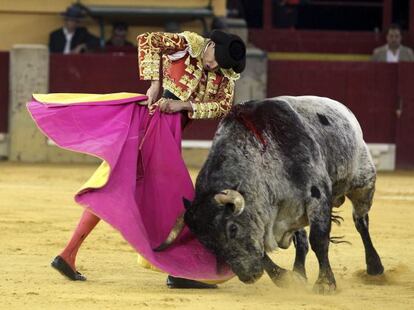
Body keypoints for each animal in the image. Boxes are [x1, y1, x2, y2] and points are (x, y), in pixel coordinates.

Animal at [156, 96, 384, 294]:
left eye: (232, 228)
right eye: (206, 243)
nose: (247, 276)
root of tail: (343, 108)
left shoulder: (317, 196)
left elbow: (319, 240)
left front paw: (325, 284)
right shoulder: (264, 220)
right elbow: (263, 251)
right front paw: (286, 278)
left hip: (363, 182)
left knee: (361, 221)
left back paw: (375, 267)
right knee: (302, 241)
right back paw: (299, 273)